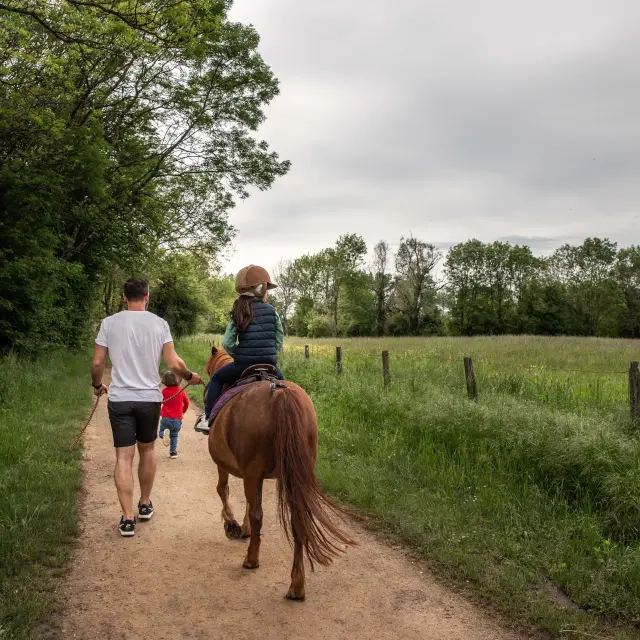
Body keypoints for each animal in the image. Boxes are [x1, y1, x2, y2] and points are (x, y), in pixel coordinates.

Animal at [203, 346, 354, 600]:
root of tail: (280, 395)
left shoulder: (230, 466)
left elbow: (223, 490)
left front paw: (232, 525)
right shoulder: (253, 475)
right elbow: (246, 502)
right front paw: (243, 529)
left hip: (255, 472)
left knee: (258, 514)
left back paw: (251, 560)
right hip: (294, 474)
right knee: (298, 520)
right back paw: (297, 585)